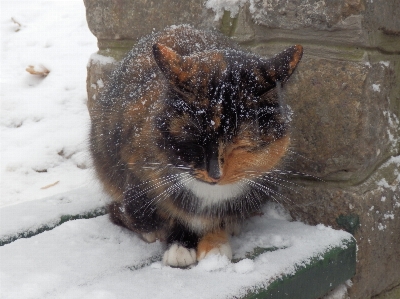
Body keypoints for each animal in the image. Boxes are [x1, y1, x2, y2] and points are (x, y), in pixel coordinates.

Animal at [90, 25, 304, 268]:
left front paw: (215, 246)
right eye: (195, 140)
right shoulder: (139, 169)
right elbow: (163, 214)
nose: (215, 174)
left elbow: (219, 220)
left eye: (241, 145)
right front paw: (179, 246)